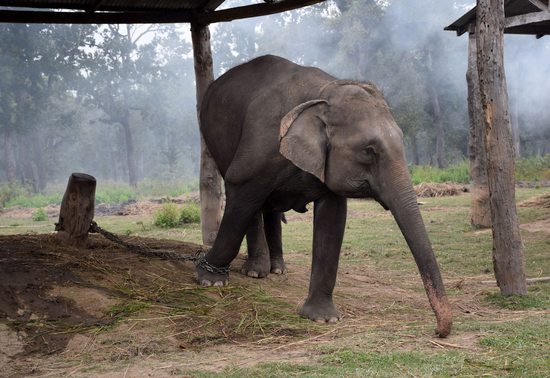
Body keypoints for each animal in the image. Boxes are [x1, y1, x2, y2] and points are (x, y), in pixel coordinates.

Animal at [196, 54, 454, 336]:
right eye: (369, 150)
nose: (438, 331)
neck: (322, 94)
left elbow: (332, 220)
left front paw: (322, 318)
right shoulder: (262, 143)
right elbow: (240, 190)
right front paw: (209, 279)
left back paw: (276, 269)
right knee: (248, 199)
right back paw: (256, 272)